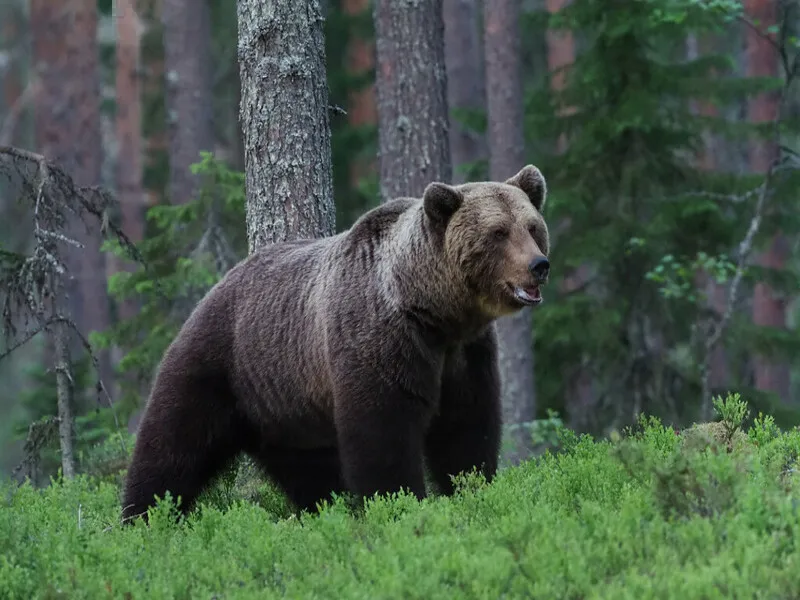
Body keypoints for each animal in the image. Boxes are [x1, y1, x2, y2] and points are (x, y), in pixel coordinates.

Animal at [122, 166, 552, 524]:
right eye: (498, 232)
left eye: (532, 227)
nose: (539, 266)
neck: (434, 311)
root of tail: (216, 286)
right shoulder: (381, 338)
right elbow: (383, 433)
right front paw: (400, 504)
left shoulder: (465, 354)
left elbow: (466, 428)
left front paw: (471, 488)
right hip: (220, 362)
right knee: (172, 444)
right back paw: (143, 519)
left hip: (285, 407)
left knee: (309, 471)